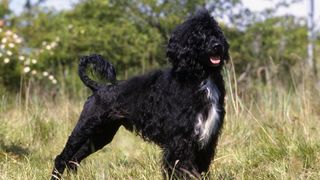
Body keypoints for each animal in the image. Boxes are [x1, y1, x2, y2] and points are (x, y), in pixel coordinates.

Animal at [51, 9, 229, 179]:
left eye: (217, 33)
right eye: (199, 34)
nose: (217, 45)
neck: (201, 77)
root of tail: (98, 88)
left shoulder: (207, 139)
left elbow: (200, 166)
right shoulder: (180, 138)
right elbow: (181, 167)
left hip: (102, 133)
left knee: (74, 159)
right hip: (85, 127)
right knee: (62, 158)